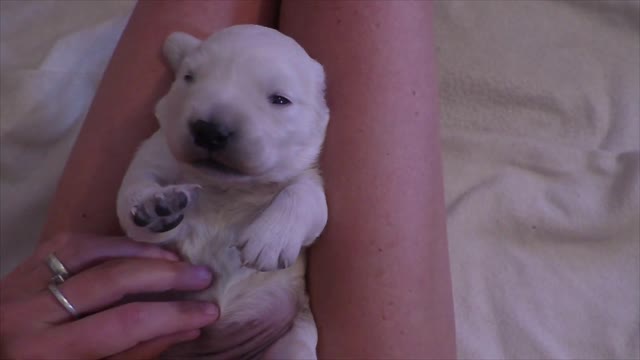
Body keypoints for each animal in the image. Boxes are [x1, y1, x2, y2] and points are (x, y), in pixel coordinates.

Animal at [117, 24, 330, 358]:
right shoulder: (155, 152)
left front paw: (269, 239)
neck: (226, 187)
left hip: (292, 338)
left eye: (280, 99)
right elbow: (134, 189)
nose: (210, 131)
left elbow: (305, 196)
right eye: (189, 77)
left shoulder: (306, 173)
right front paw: (156, 206)